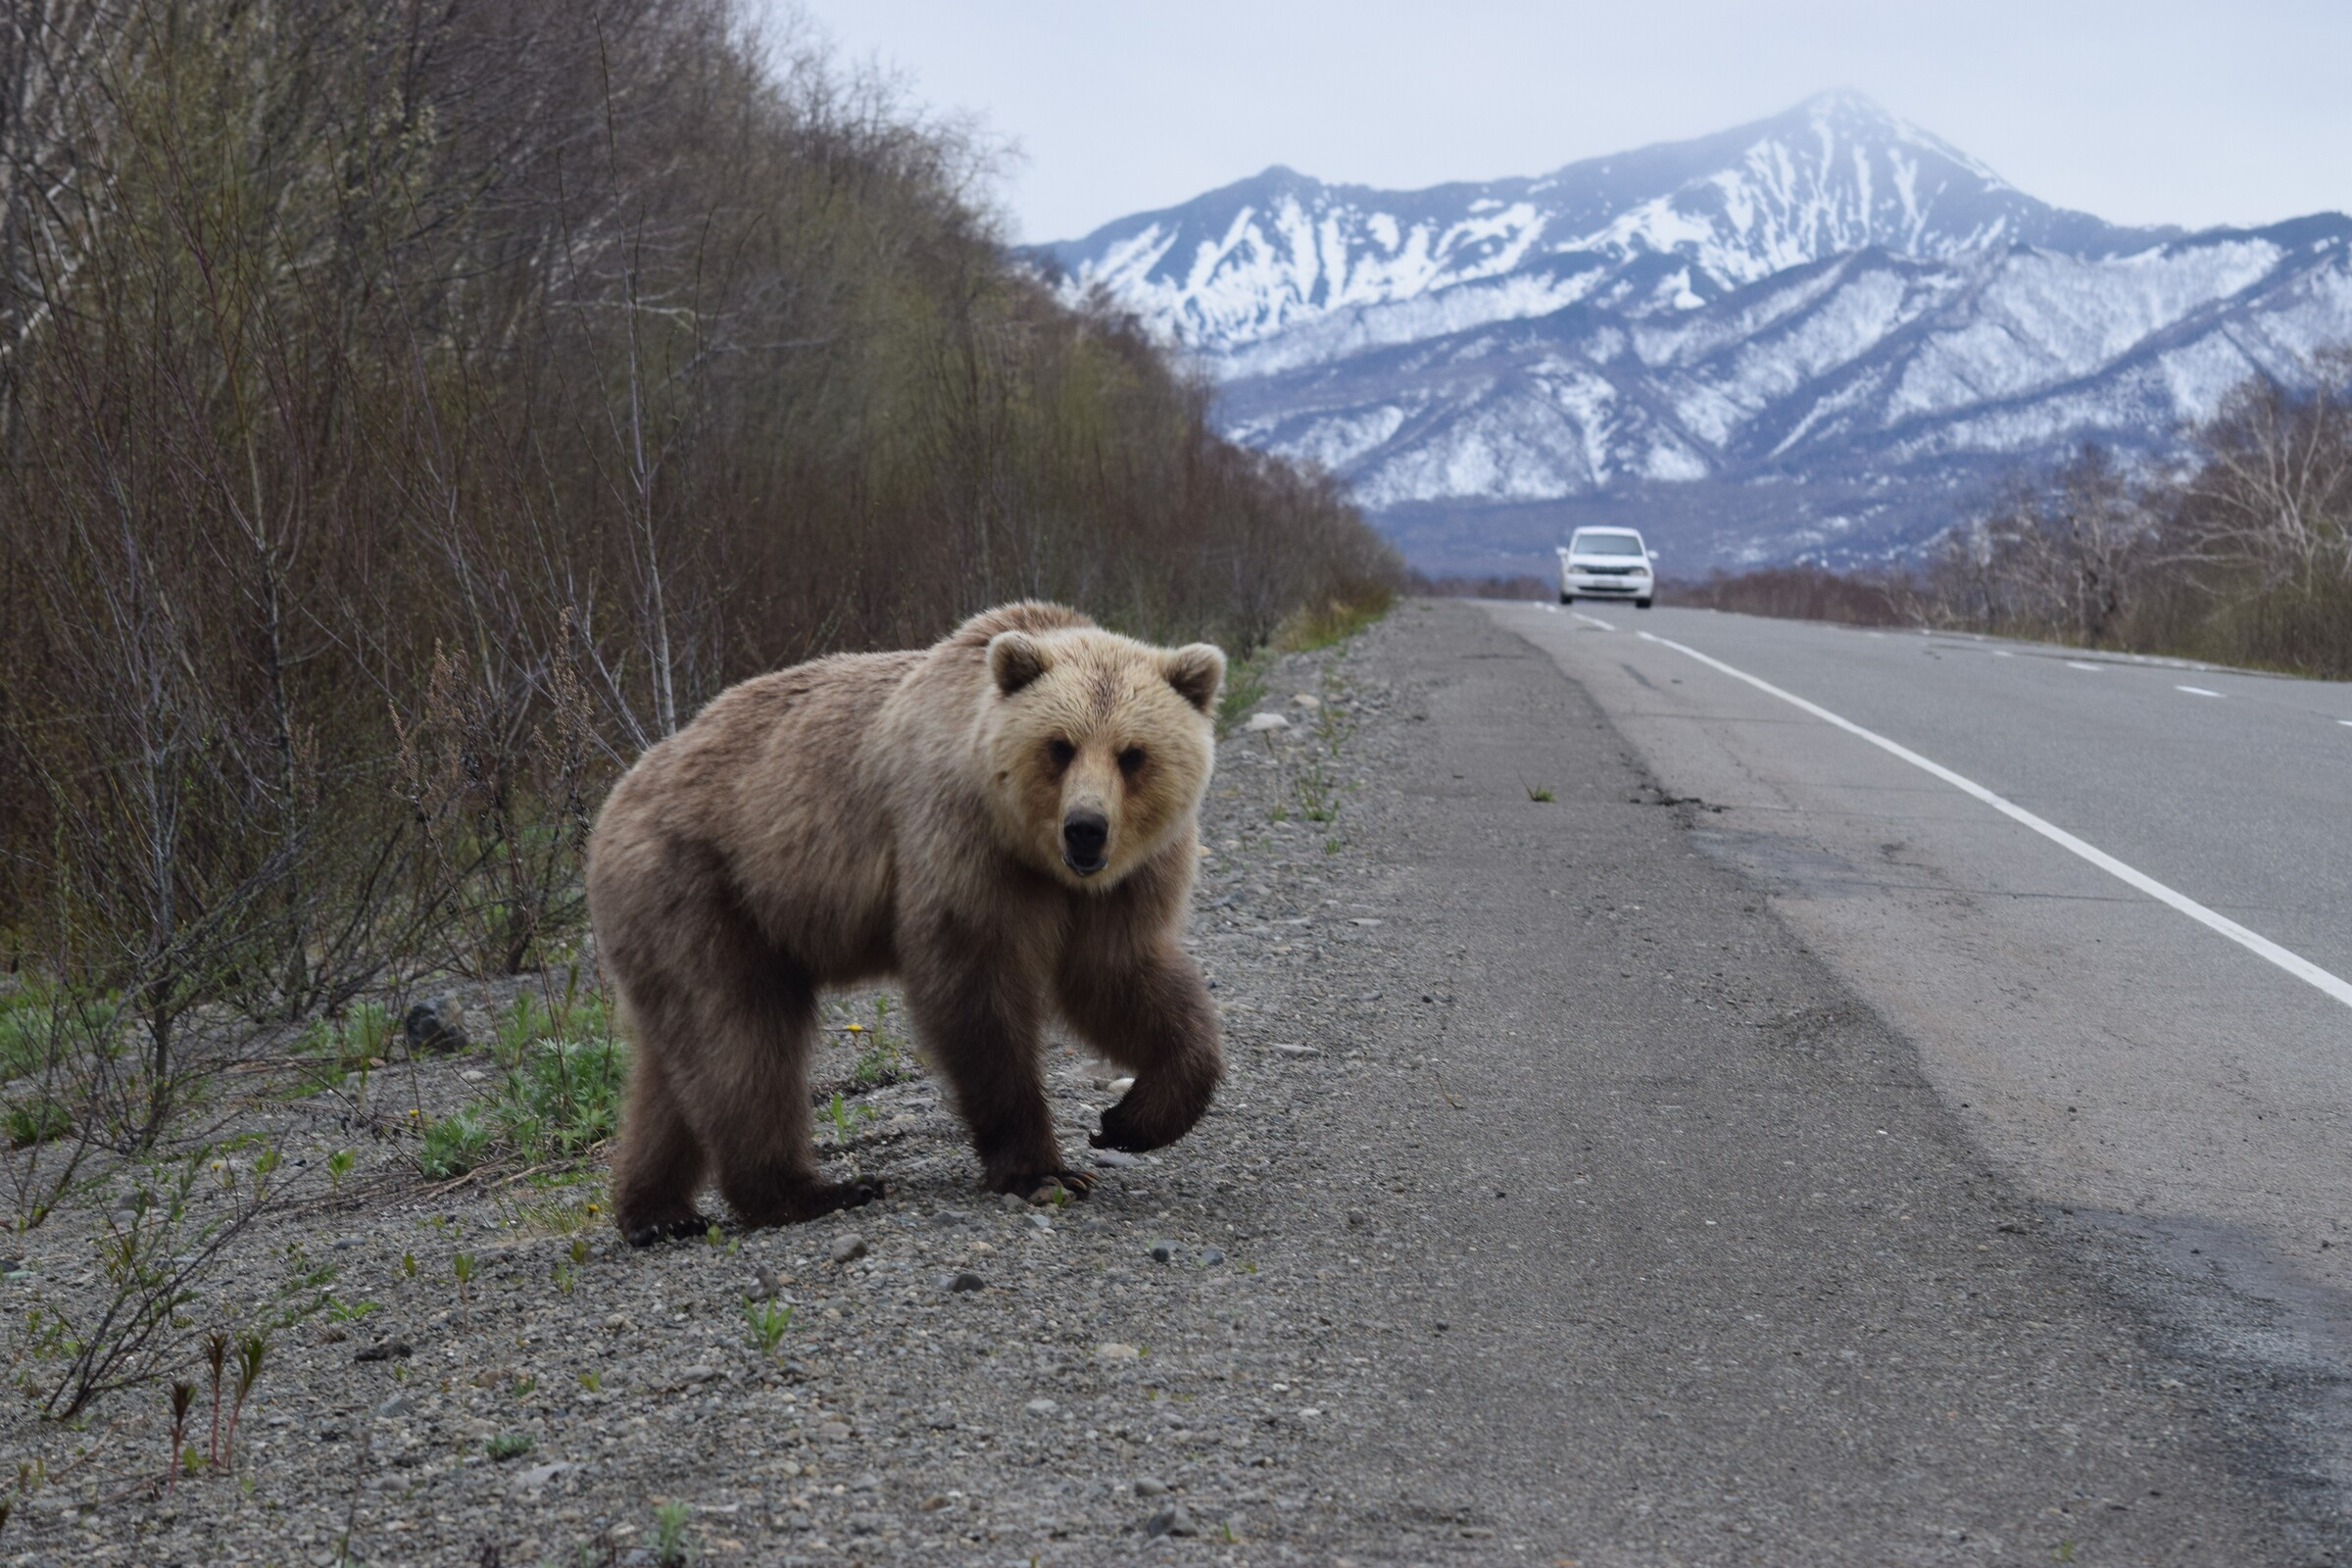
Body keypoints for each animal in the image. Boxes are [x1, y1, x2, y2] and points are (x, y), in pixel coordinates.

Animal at [588, 606, 1232, 1250]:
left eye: (1133, 754)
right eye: (1059, 746)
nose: (1086, 828)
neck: (1040, 860)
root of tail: (613, 801)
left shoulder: (1124, 885)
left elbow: (1118, 980)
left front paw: (1130, 1120)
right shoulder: (961, 845)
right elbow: (976, 996)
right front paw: (1043, 1171)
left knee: (678, 1063)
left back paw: (658, 1211)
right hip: (707, 884)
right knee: (742, 1036)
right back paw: (812, 1191)